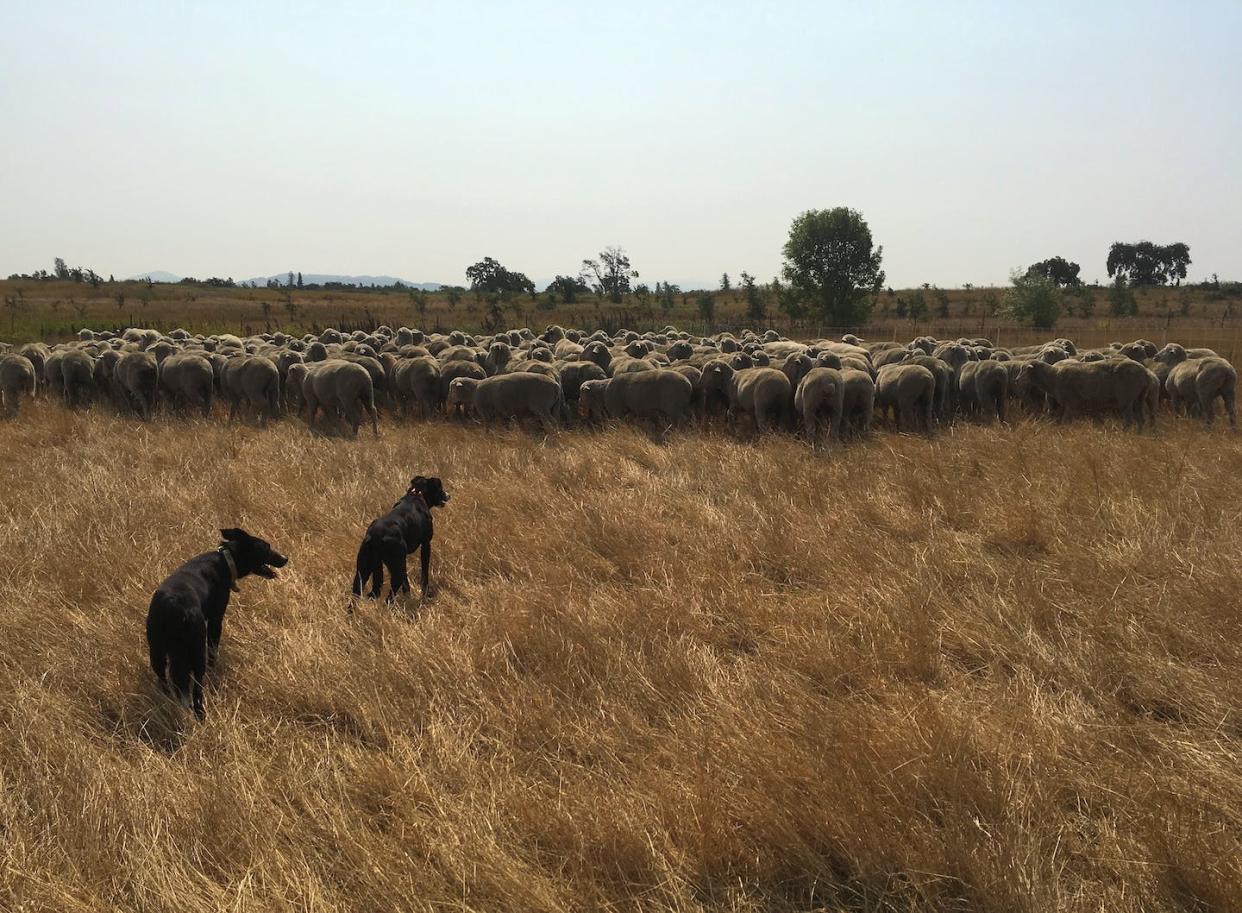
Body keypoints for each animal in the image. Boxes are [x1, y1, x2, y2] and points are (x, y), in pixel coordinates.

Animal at [145, 529, 288, 720]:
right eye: (266, 548)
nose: (286, 558)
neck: (225, 561)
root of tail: (172, 606)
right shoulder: (215, 620)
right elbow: (213, 651)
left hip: (157, 652)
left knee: (165, 682)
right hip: (196, 650)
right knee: (196, 690)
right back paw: (201, 716)